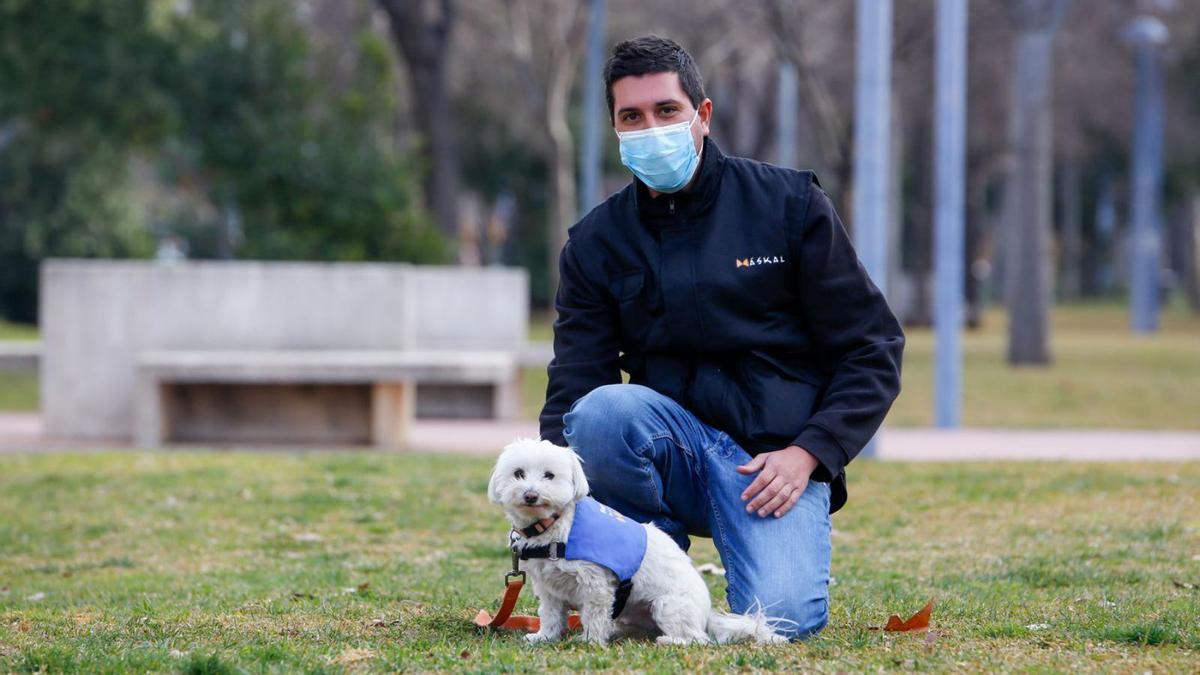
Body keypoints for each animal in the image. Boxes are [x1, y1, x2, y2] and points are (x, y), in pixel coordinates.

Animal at [487, 432, 787, 643]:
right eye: (518, 474)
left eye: (549, 475)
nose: (530, 495)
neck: (555, 526)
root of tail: (706, 616)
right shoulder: (549, 589)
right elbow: (549, 615)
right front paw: (544, 637)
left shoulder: (596, 585)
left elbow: (593, 615)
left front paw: (589, 641)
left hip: (668, 605)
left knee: (697, 639)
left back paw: (669, 641)